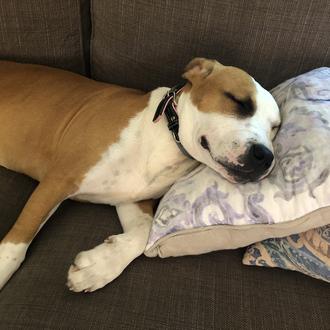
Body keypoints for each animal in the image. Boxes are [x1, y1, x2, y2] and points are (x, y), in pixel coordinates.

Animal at [0, 58, 280, 292]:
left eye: (275, 127)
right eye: (238, 101)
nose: (265, 156)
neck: (167, 137)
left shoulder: (132, 199)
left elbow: (144, 233)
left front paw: (98, 267)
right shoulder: (58, 180)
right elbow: (19, 240)